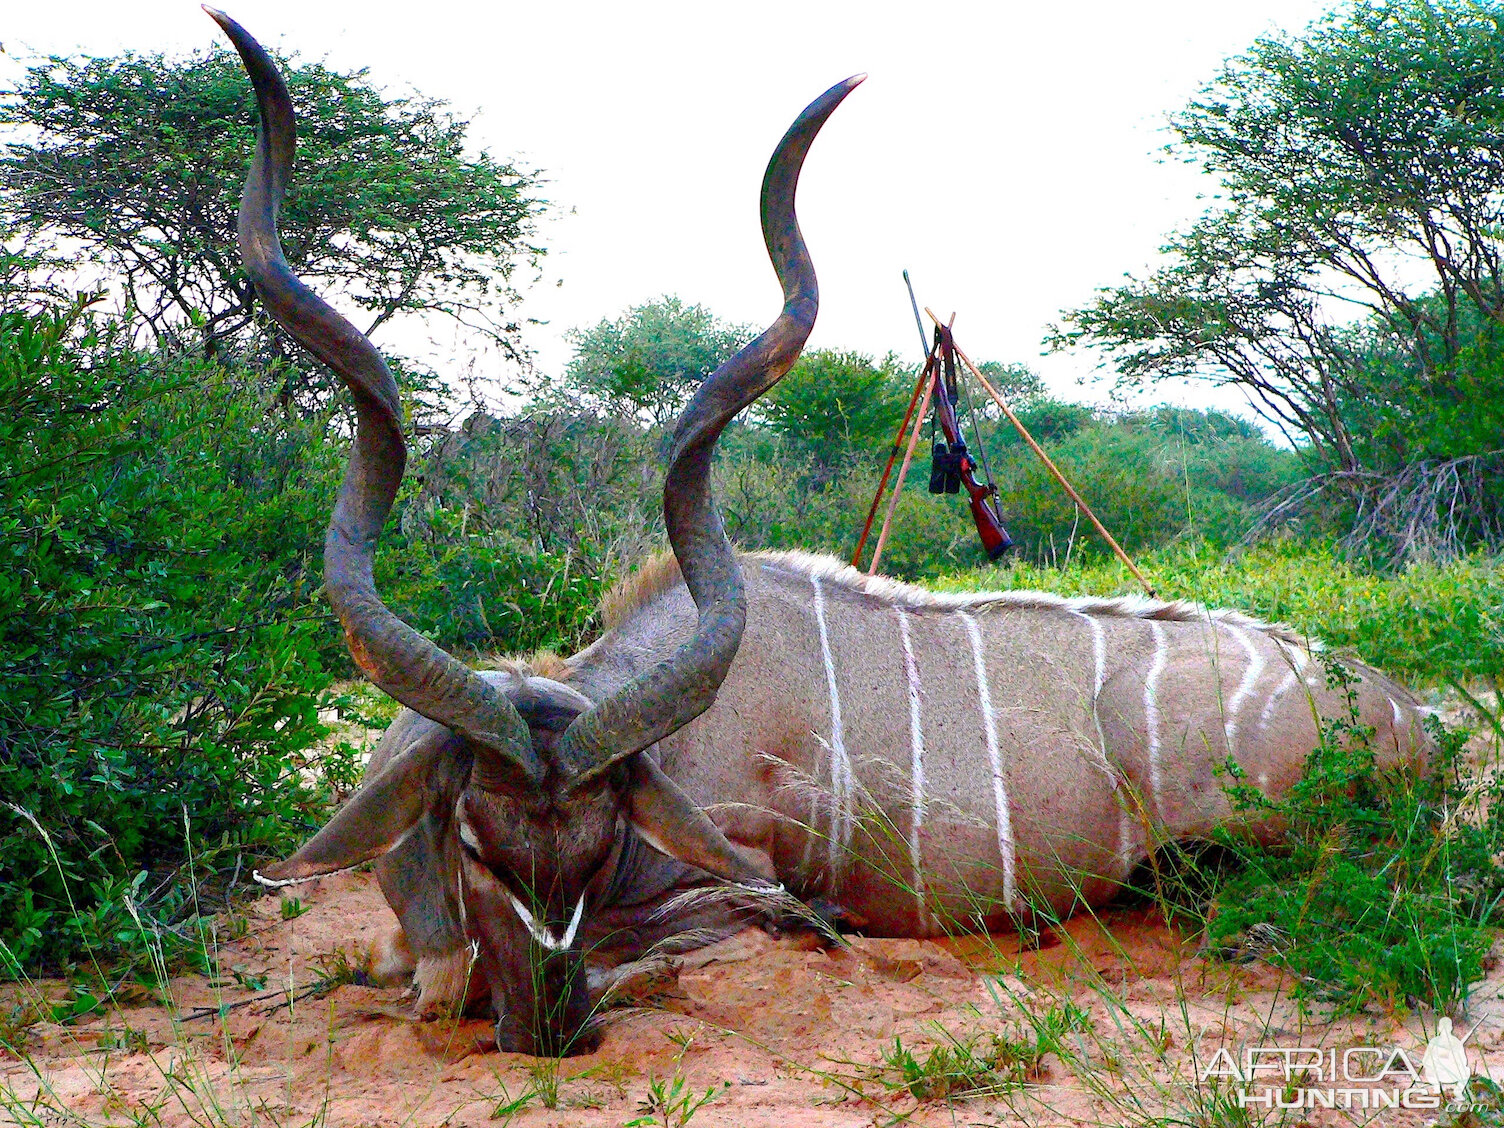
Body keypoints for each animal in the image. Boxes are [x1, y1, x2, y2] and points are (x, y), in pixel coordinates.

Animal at [209, 11, 1419, 1058]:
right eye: (470, 840)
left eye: (602, 850)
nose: (553, 1034)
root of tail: (1416, 714)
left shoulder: (732, 885)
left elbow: (545, 966)